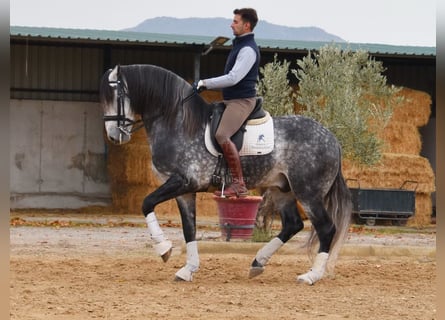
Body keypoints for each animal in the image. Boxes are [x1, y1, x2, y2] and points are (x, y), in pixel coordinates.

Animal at [99, 63, 352, 284]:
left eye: (116, 95)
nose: (113, 136)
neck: (178, 123)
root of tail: (332, 139)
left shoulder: (183, 181)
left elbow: (146, 203)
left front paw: (164, 249)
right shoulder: (184, 191)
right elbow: (189, 228)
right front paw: (187, 269)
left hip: (308, 193)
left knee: (326, 228)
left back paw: (311, 276)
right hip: (282, 189)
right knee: (292, 224)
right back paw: (258, 262)